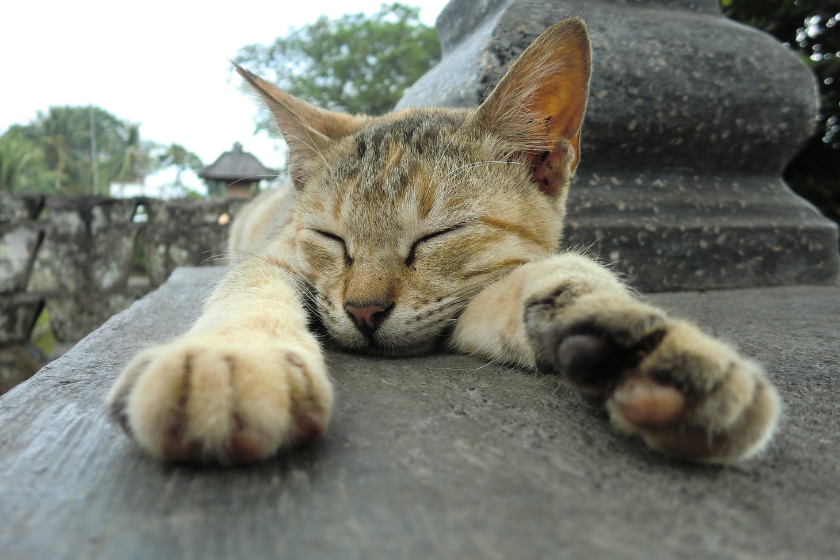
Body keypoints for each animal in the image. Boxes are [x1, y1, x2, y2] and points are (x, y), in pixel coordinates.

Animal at [105, 17, 780, 466]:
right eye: (331, 236)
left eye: (438, 235)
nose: (364, 311)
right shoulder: (277, 256)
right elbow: (249, 289)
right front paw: (233, 359)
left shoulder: (469, 298)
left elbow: (557, 282)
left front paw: (639, 344)